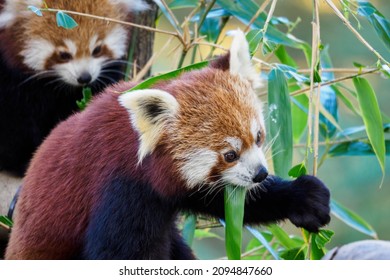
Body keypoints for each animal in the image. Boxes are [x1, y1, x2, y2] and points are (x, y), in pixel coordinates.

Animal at [0, 0, 148, 175]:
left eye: (97, 49)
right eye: (64, 55)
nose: (85, 77)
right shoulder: (12, 82)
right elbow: (15, 120)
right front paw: (22, 160)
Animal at [4, 29, 330, 260]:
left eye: (259, 136)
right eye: (229, 154)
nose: (261, 174)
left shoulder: (175, 186)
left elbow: (222, 198)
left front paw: (303, 197)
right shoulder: (120, 188)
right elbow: (120, 253)